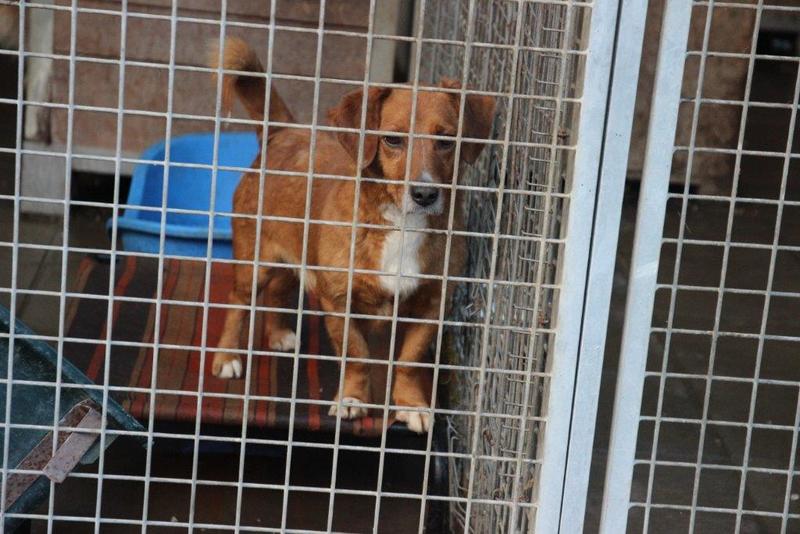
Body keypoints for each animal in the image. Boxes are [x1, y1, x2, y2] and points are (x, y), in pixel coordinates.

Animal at [209, 37, 494, 433]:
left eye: (446, 141)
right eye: (392, 139)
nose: (424, 194)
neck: (400, 223)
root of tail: (283, 131)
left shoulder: (432, 305)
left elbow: (409, 360)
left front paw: (411, 404)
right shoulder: (338, 302)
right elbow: (357, 354)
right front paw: (354, 400)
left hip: (292, 253)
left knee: (279, 290)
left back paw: (279, 334)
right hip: (255, 262)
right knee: (239, 302)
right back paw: (227, 356)